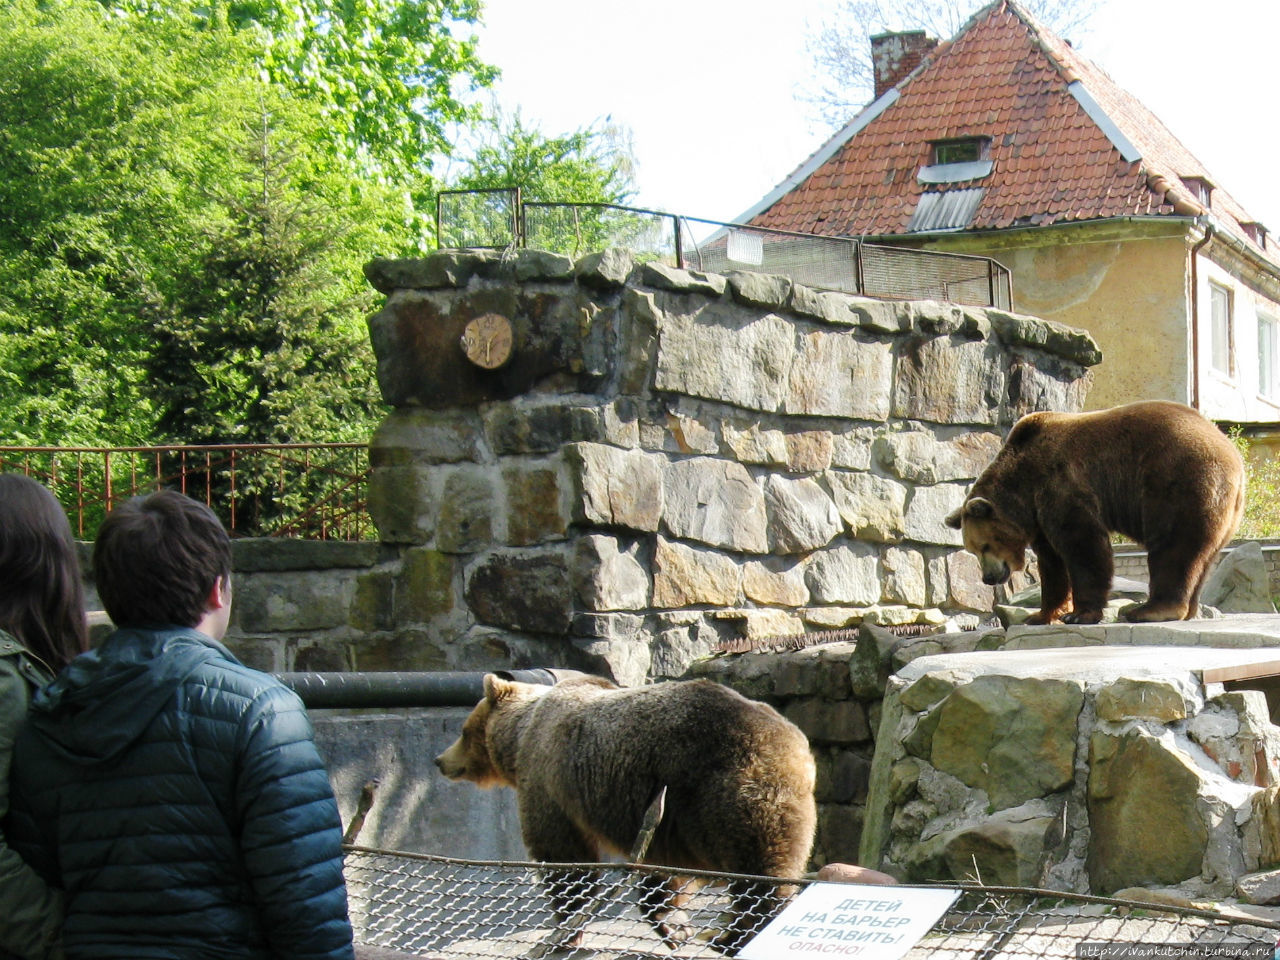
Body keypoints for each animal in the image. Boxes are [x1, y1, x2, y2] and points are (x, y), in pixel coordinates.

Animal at [435, 670, 814, 952]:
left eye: (463, 731)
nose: (440, 760)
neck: (520, 735)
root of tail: (792, 748)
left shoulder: (548, 781)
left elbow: (562, 855)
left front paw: (567, 931)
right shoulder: (661, 822)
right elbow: (663, 873)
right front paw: (675, 926)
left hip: (724, 794)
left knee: (758, 872)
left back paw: (734, 933)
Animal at [947, 396, 1244, 624]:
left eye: (984, 545)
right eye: (973, 550)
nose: (987, 578)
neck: (1024, 487)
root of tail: (1235, 459)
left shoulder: (1062, 485)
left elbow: (1083, 546)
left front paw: (1079, 614)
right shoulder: (1040, 517)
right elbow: (1052, 564)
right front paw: (1040, 615)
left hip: (1179, 482)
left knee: (1173, 546)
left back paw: (1149, 610)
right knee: (1203, 557)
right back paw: (1188, 610)